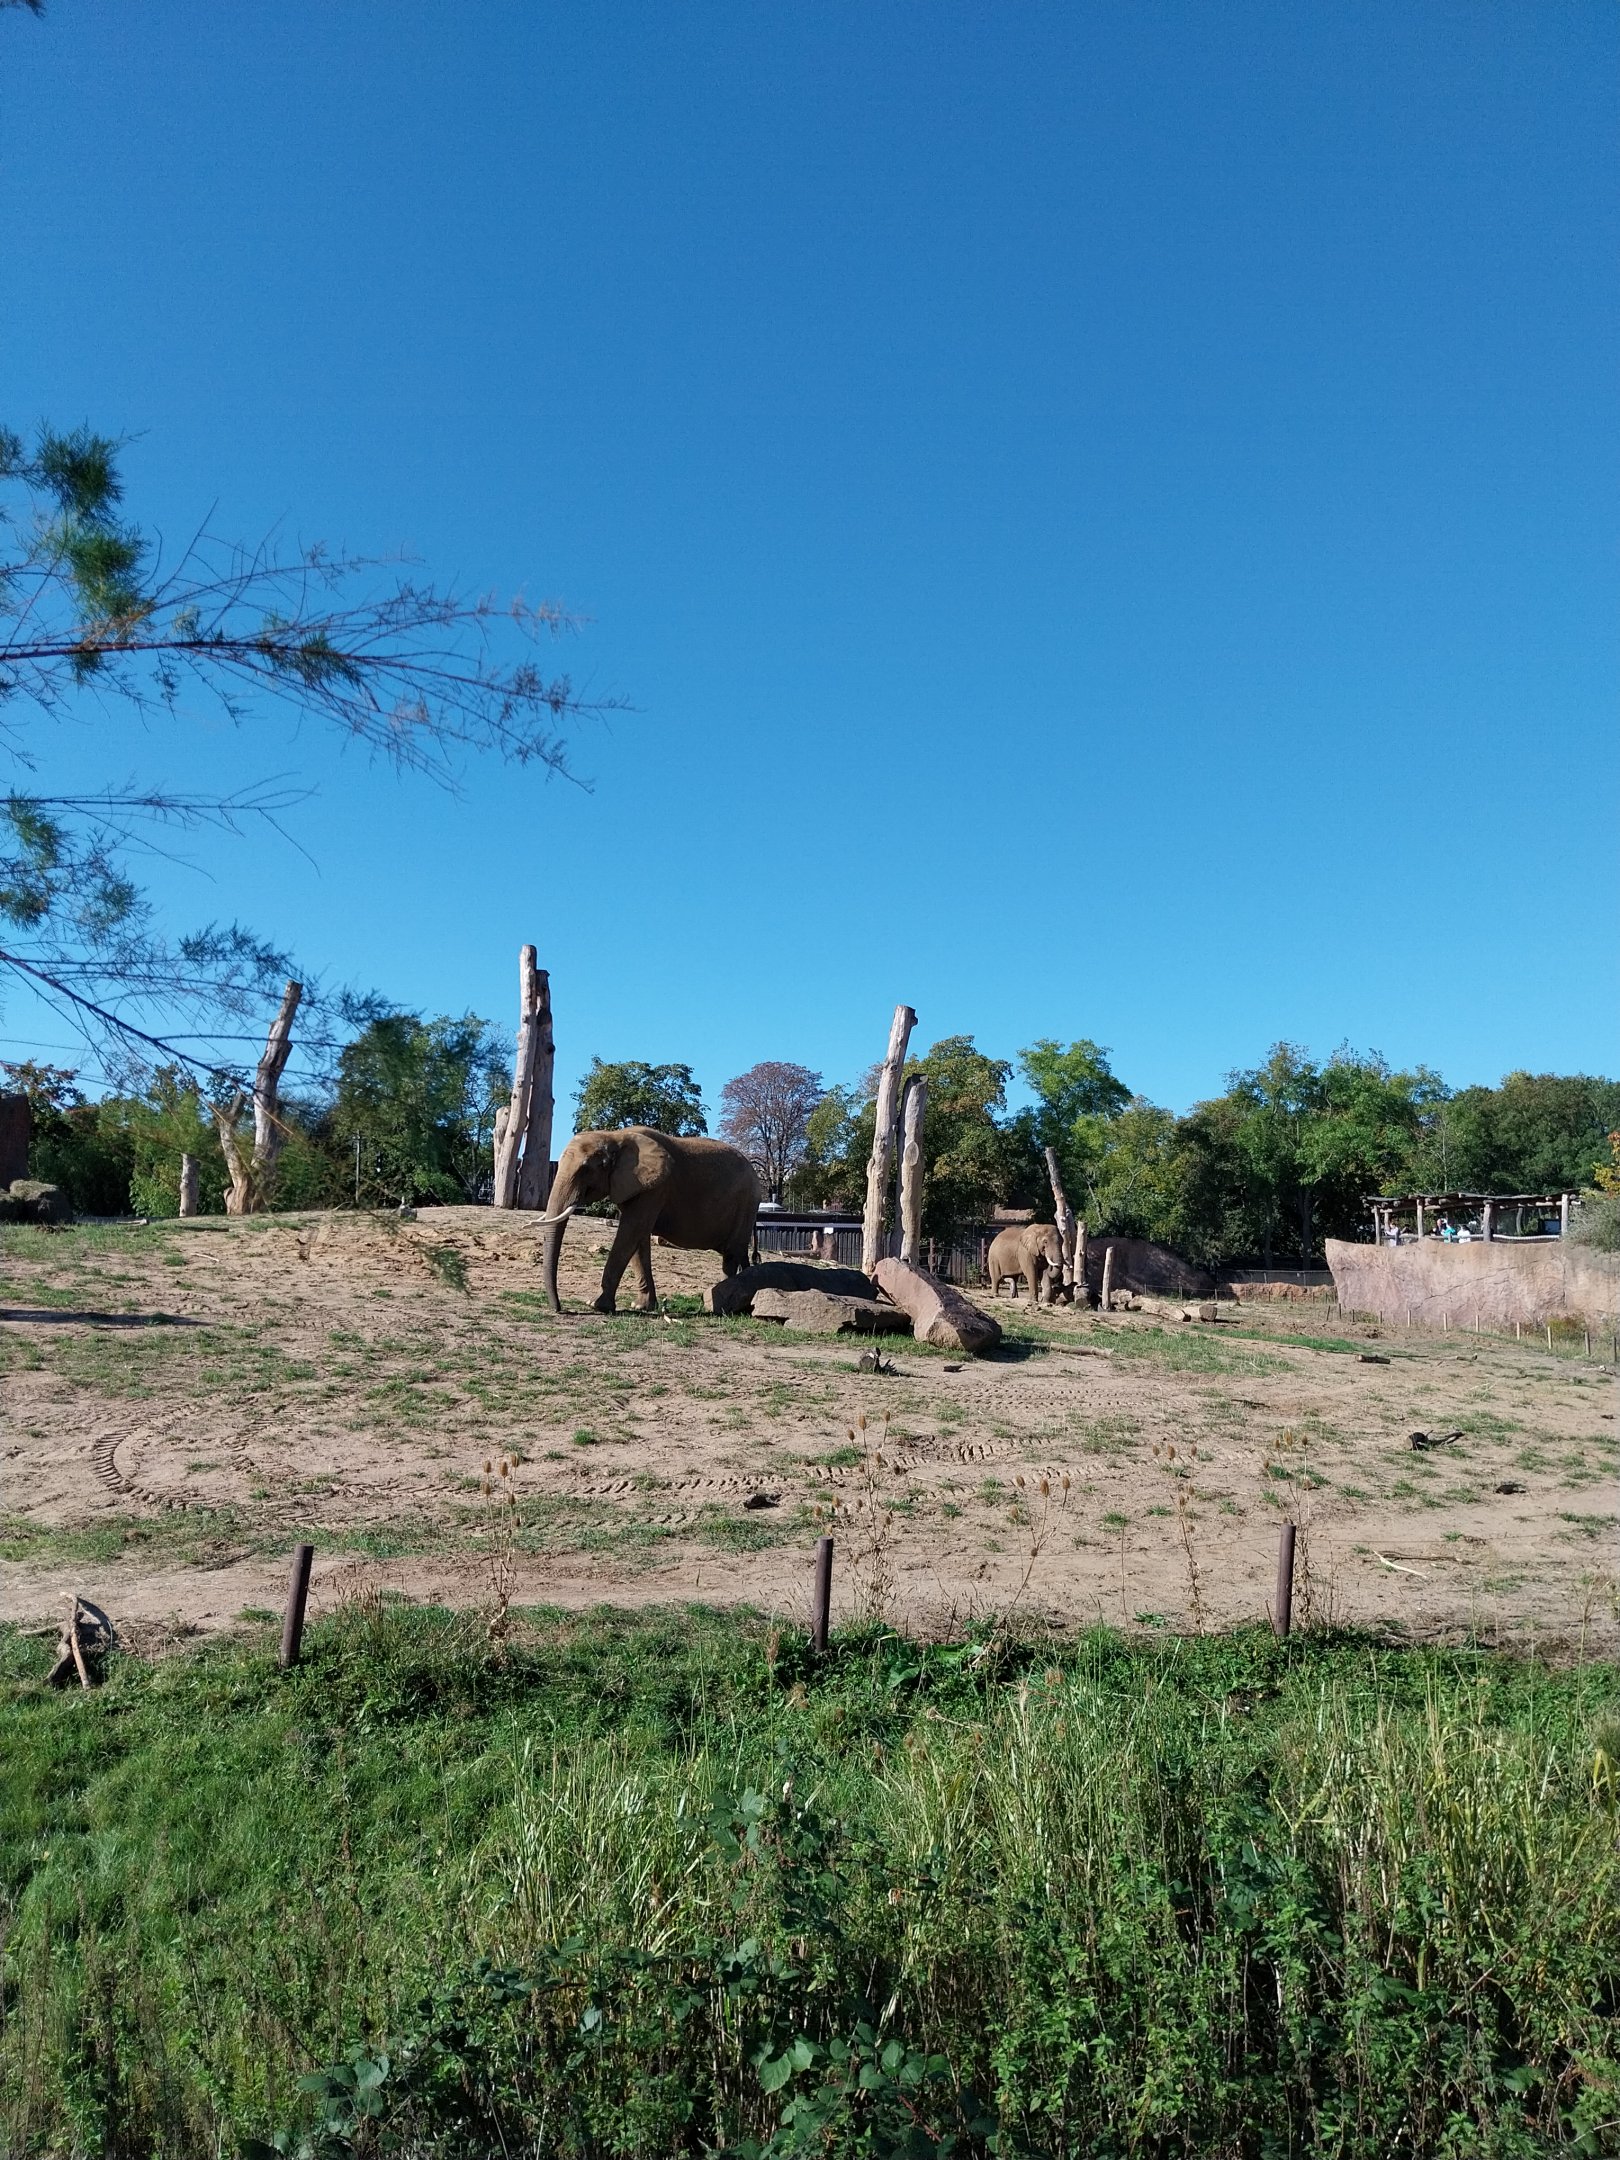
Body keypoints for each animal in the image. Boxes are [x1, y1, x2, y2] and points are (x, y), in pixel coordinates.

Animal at [538, 1126, 760, 1315]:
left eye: (586, 1169)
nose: (559, 1309)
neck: (615, 1135)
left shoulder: (655, 1188)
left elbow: (630, 1232)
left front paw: (595, 1305)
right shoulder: (636, 1187)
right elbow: (639, 1239)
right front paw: (641, 1307)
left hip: (746, 1202)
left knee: (731, 1253)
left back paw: (721, 1308)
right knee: (736, 1253)